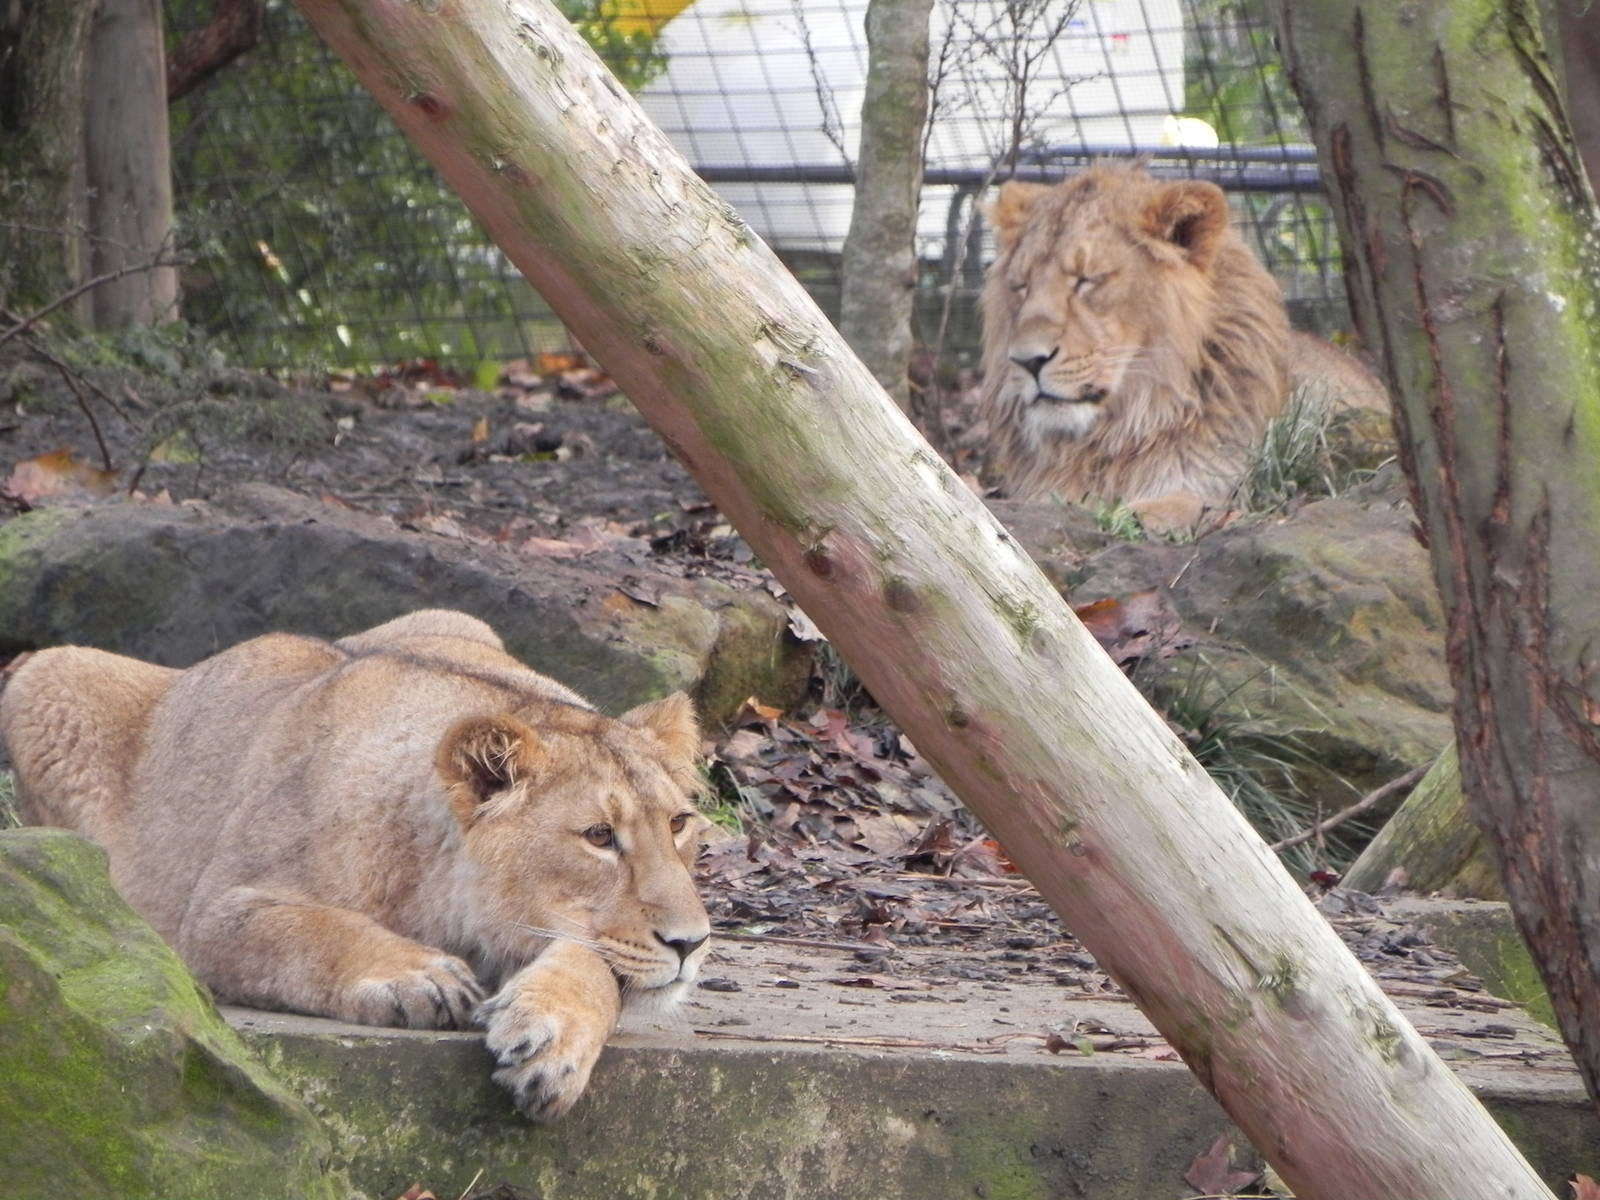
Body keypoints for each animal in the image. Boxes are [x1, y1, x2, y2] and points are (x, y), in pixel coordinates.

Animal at [0, 609, 711, 1121]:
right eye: (598, 836)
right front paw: (419, 978)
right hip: (49, 673)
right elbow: (312, 932)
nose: (693, 944)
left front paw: (552, 1041)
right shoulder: (217, 913)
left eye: (679, 824)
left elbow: (598, 964)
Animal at [981, 162, 1386, 528]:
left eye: (1087, 279)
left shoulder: (1227, 482)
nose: (1026, 361)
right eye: (1021, 286)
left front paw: (1138, 513)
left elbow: (1176, 502)